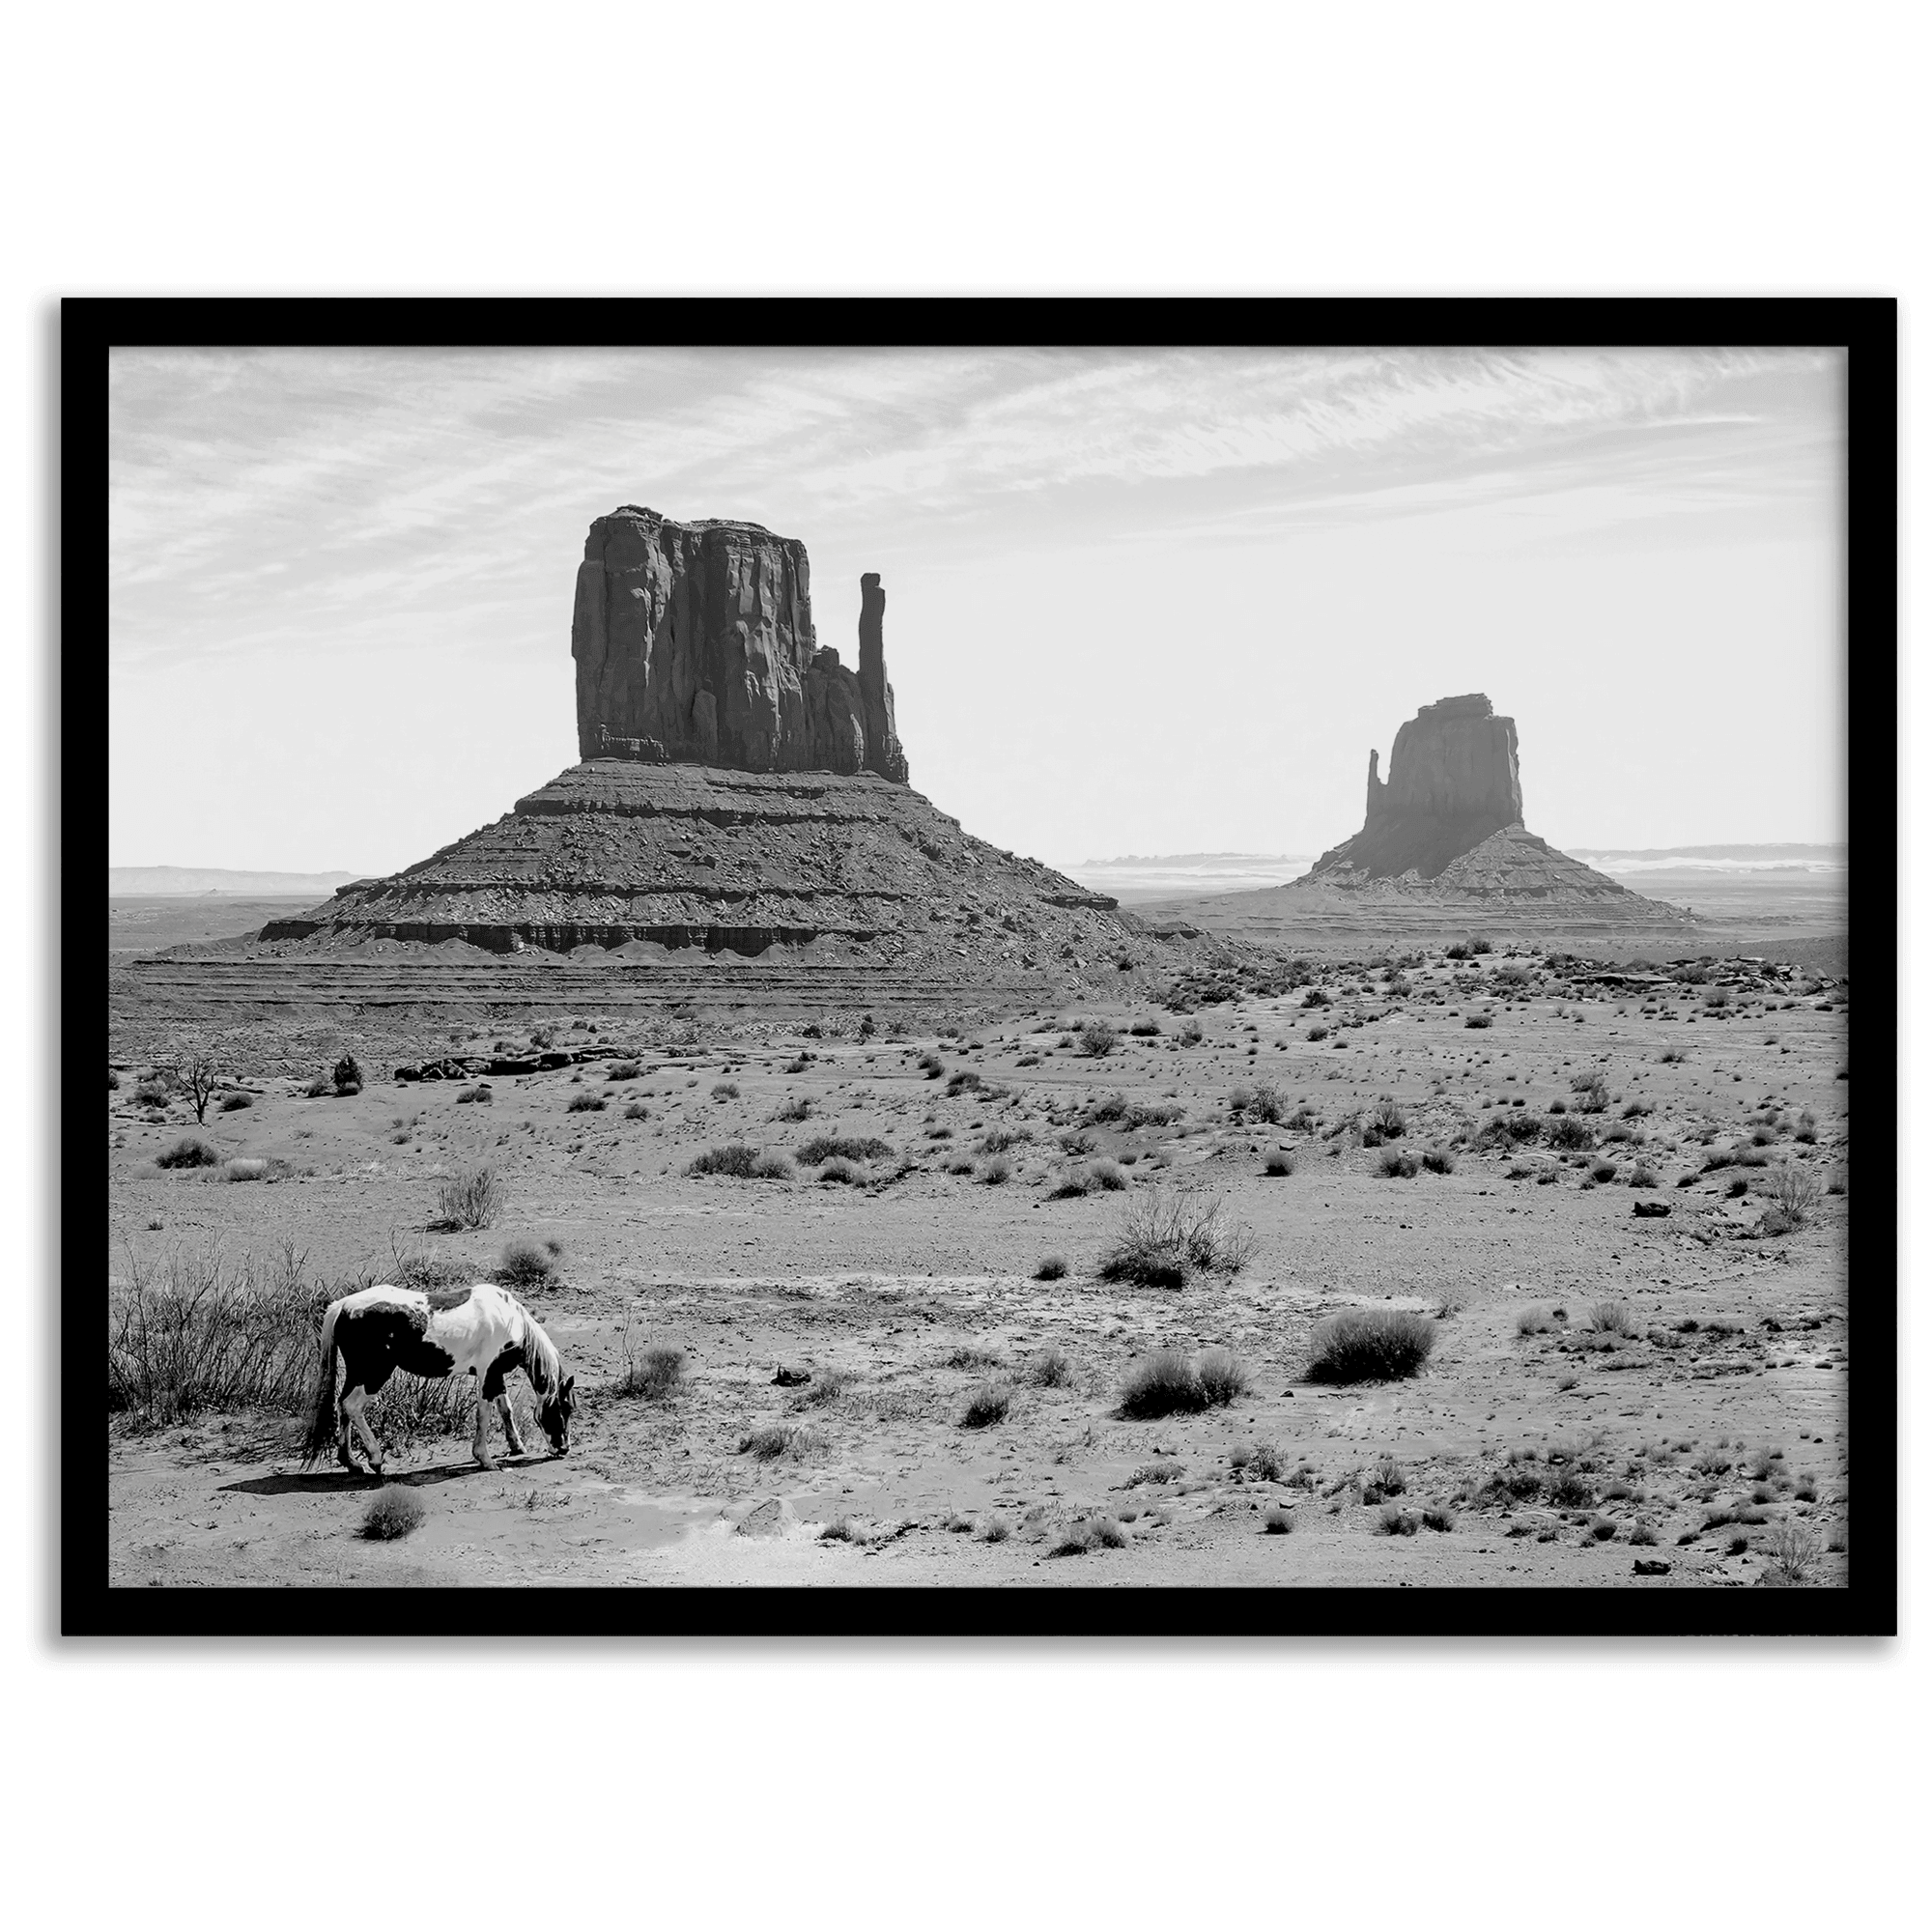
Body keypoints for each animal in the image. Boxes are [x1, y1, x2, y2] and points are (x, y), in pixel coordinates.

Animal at [301, 1283, 572, 1476]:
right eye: (565, 1408)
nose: (563, 1449)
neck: (509, 1319)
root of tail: (343, 1305)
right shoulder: (487, 1374)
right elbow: (484, 1415)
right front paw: (484, 1459)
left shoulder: (495, 1374)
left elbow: (505, 1409)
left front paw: (516, 1446)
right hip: (374, 1375)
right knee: (352, 1406)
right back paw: (376, 1459)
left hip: (357, 1374)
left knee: (341, 1406)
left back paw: (351, 1463)